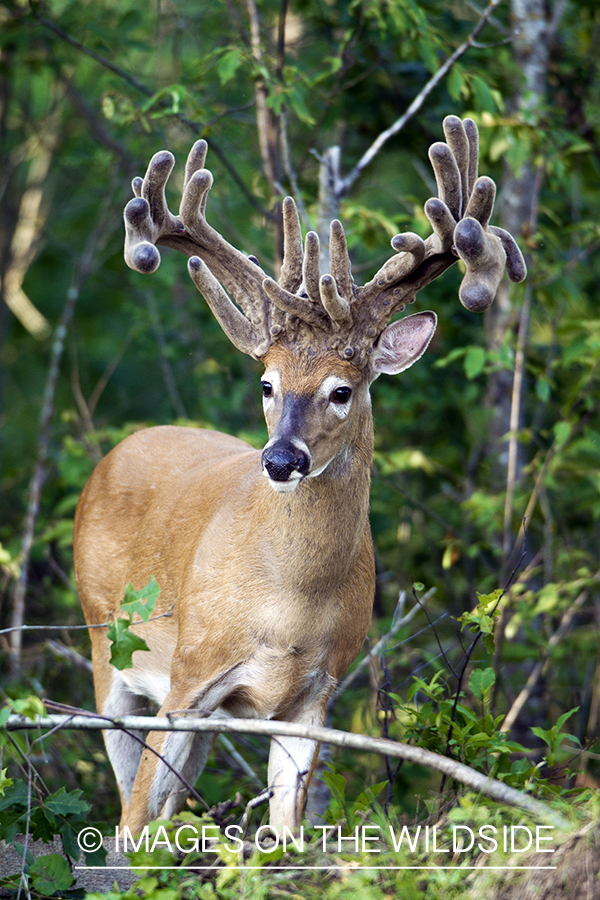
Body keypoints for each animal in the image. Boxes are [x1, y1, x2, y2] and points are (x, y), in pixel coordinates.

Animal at [74, 116, 524, 832]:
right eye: (267, 382)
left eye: (343, 390)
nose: (282, 460)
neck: (287, 605)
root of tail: (120, 449)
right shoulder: (189, 674)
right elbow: (132, 818)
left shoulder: (315, 697)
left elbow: (287, 832)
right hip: (104, 642)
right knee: (126, 795)